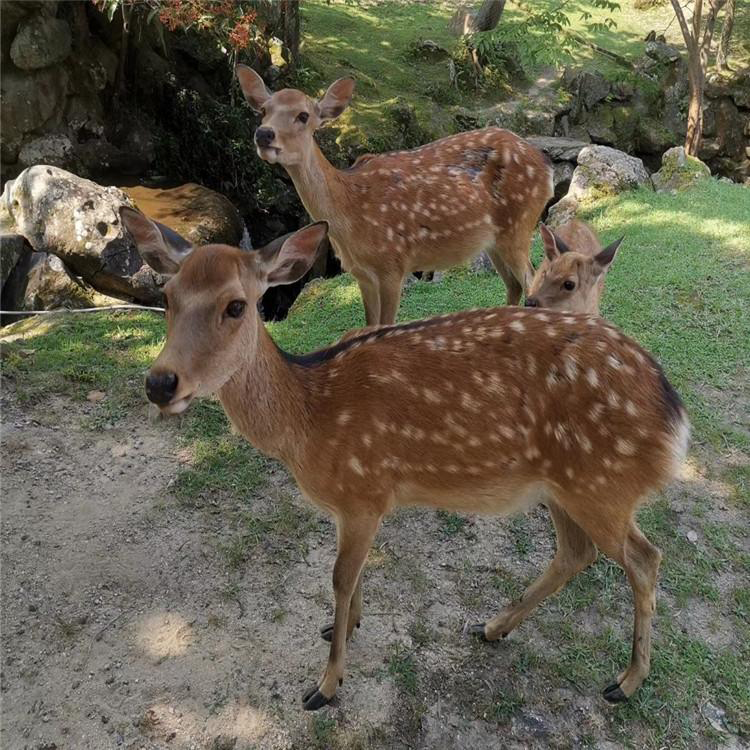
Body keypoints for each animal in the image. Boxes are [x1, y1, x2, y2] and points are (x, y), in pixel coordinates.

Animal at [120, 209, 692, 712]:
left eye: (237, 306)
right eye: (166, 297)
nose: (160, 382)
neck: (308, 419)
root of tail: (674, 416)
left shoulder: (364, 492)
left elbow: (340, 577)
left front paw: (326, 685)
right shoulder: (355, 505)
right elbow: (353, 576)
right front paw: (345, 626)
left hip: (601, 483)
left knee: (645, 558)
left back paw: (626, 681)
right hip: (564, 485)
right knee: (578, 553)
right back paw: (493, 627)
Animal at [238, 64, 556, 324]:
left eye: (303, 115)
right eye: (264, 111)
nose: (264, 134)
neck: (349, 214)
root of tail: (547, 167)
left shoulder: (392, 264)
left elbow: (385, 326)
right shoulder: (361, 274)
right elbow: (370, 326)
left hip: (518, 225)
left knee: (531, 282)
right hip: (494, 240)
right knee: (514, 284)